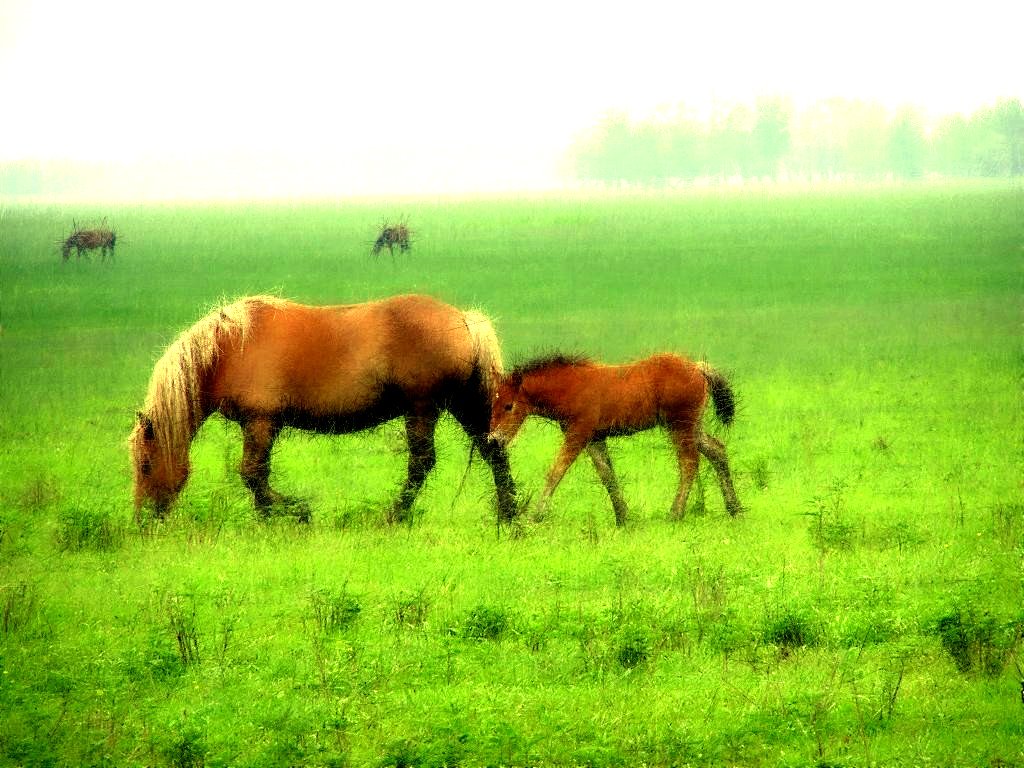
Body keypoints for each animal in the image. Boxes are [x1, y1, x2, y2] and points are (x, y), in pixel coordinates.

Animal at [128, 294, 517, 524]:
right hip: (462, 404)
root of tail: (464, 319)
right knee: (492, 449)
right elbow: (257, 474)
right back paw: (509, 514)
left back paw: (394, 514)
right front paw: (270, 517)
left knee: (422, 462)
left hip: (422, 409)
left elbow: (252, 473)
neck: (229, 348)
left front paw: (289, 513)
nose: (144, 520)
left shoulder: (260, 422)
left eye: (146, 465)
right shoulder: (262, 426)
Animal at [487, 352, 742, 525]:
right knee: (717, 450)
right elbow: (607, 475)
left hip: (680, 426)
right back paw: (734, 508)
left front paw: (536, 515)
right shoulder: (595, 438)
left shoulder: (579, 433)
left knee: (689, 463)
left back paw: (675, 513)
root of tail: (698, 367)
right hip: (692, 427)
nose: (494, 440)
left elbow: (556, 472)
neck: (571, 387)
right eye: (493, 405)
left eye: (509, 406)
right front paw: (623, 517)